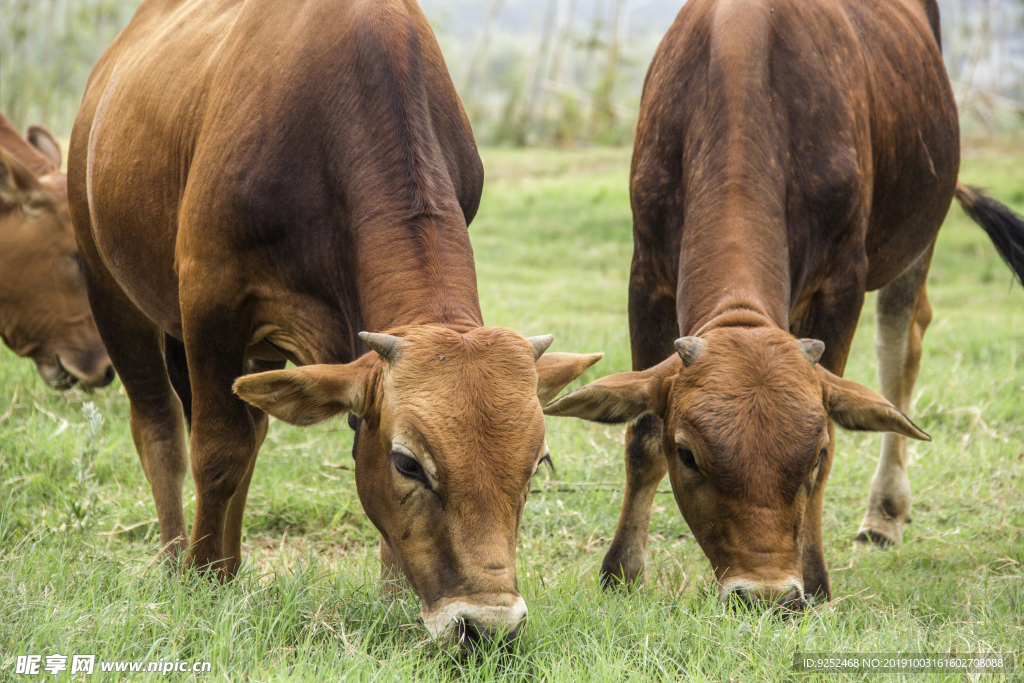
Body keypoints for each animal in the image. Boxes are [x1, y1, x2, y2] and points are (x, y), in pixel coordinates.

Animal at [68, 0, 598, 647]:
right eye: (407, 463)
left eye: (537, 464)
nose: (487, 626)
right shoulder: (210, 303)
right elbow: (216, 451)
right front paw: (200, 578)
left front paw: (393, 596)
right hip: (111, 289)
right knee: (160, 425)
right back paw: (178, 558)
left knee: (253, 426)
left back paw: (232, 562)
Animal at [548, 0, 1024, 610]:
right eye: (688, 455)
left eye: (813, 453)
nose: (766, 593)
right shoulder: (647, 271)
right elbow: (642, 436)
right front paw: (622, 571)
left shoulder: (841, 282)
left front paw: (816, 577)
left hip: (919, 235)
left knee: (901, 343)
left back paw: (885, 513)